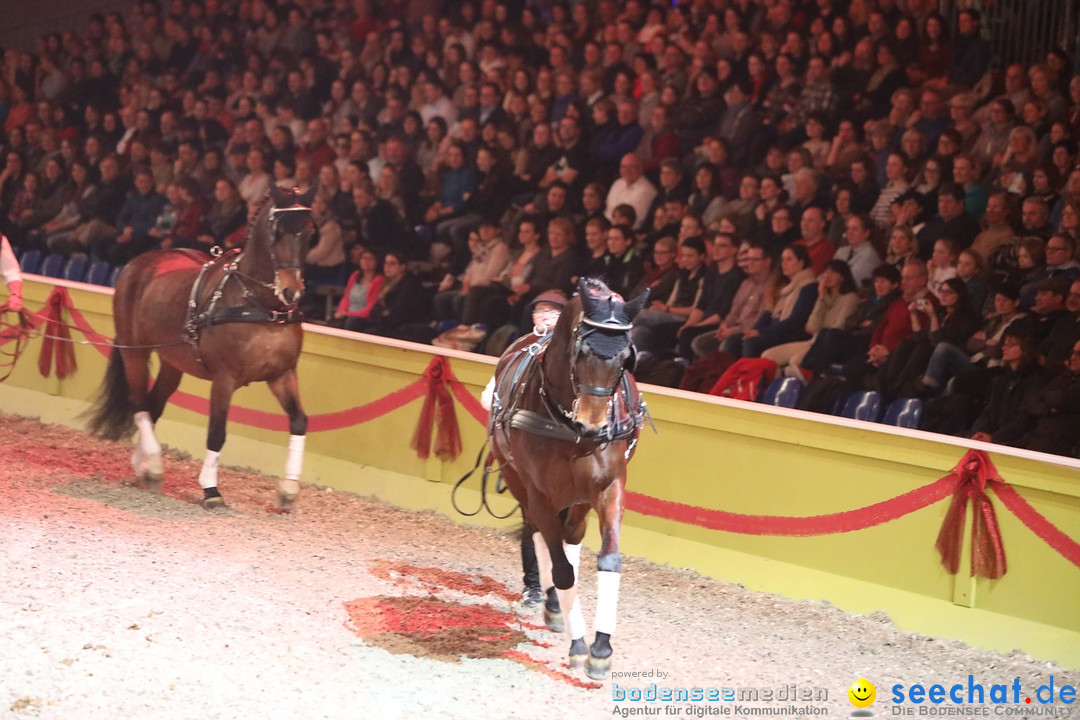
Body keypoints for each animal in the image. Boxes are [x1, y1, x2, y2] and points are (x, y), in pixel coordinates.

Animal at [88, 185, 315, 511]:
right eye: (277, 232)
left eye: (309, 231)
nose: (291, 291)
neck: (260, 307)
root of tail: (140, 262)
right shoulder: (224, 378)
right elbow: (217, 432)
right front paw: (211, 490)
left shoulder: (282, 375)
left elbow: (299, 422)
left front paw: (288, 490)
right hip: (134, 351)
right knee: (140, 404)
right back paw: (153, 465)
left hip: (172, 362)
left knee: (153, 405)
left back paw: (143, 465)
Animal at [490, 278, 648, 682]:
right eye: (581, 351)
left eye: (626, 357)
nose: (592, 424)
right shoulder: (539, 494)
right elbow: (560, 569)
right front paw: (578, 646)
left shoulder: (609, 488)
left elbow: (608, 560)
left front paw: (602, 648)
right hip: (521, 484)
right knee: (540, 536)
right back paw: (549, 603)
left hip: (578, 498)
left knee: (571, 536)